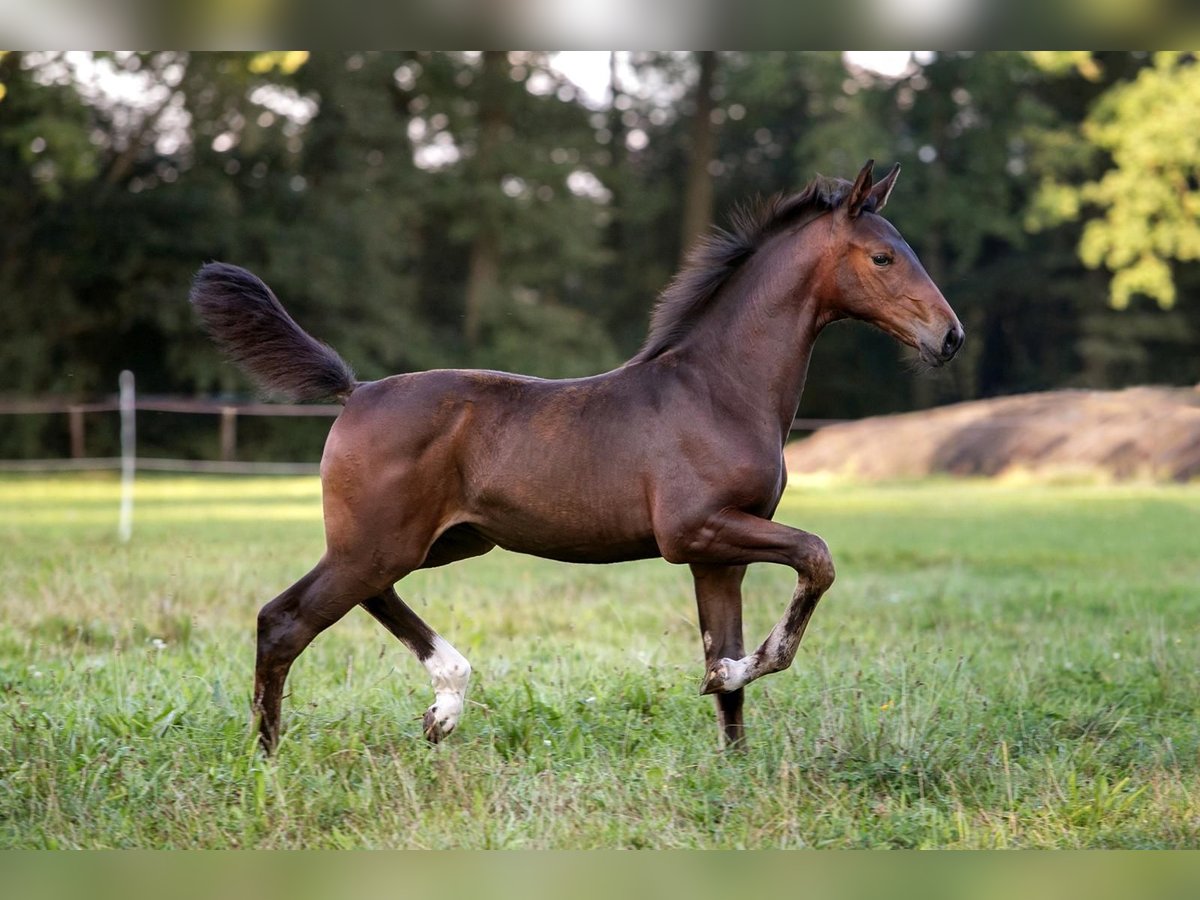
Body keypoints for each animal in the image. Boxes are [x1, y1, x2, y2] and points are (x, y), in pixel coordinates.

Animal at [192, 160, 960, 753]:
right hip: (381, 543)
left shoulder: (719, 554)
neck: (719, 388)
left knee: (362, 597)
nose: (949, 337)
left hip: (432, 543)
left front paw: (736, 757)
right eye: (883, 257)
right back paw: (271, 756)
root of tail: (355, 391)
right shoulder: (695, 531)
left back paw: (445, 702)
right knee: (284, 620)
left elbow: (724, 660)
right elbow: (816, 559)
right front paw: (748, 669)